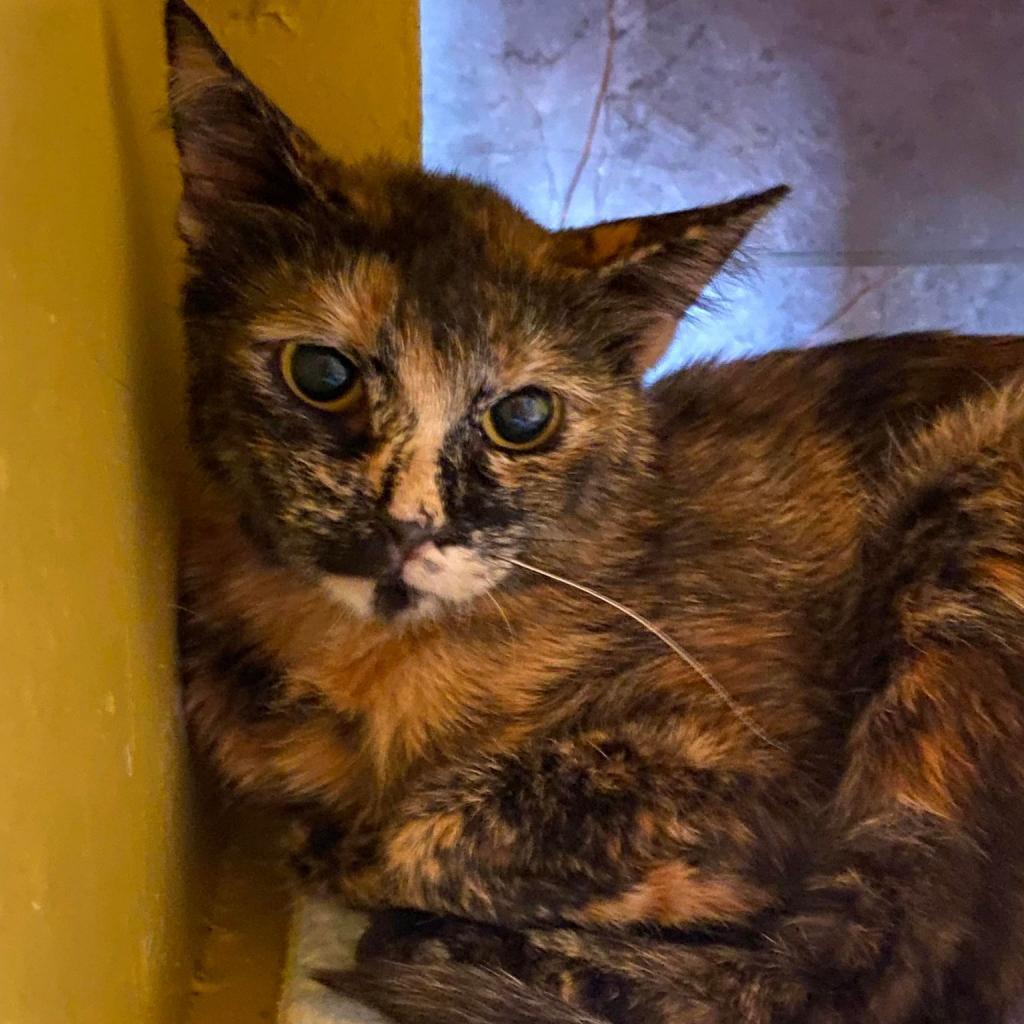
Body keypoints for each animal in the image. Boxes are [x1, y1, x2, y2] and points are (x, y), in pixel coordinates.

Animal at [163, 2, 1024, 1024]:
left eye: (523, 417)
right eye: (322, 373)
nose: (412, 525)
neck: (366, 669)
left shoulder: (769, 783)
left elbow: (424, 827)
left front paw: (358, 855)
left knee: (862, 969)